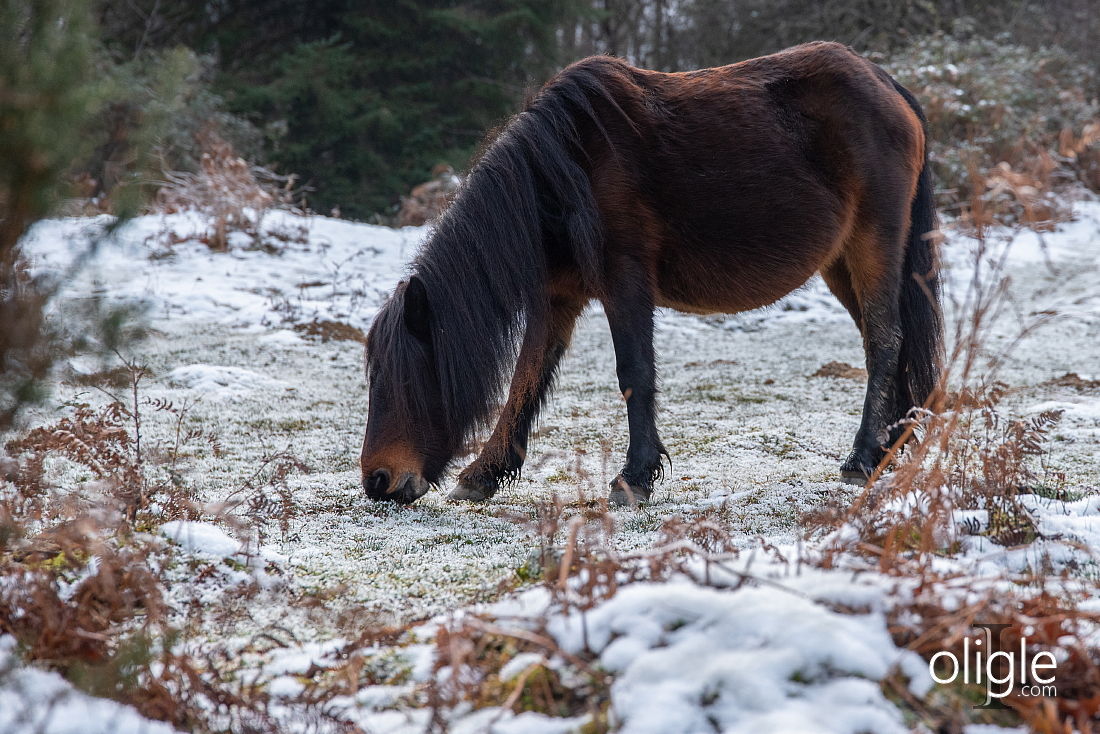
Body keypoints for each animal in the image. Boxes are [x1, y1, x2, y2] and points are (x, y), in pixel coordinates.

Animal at [358, 41, 937, 506]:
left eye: (402, 379)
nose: (378, 481)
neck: (565, 170)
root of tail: (888, 86)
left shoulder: (624, 282)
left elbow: (633, 373)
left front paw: (634, 478)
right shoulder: (557, 297)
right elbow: (527, 378)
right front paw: (483, 474)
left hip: (873, 245)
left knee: (884, 340)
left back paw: (863, 458)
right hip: (841, 264)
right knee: (889, 342)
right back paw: (895, 447)